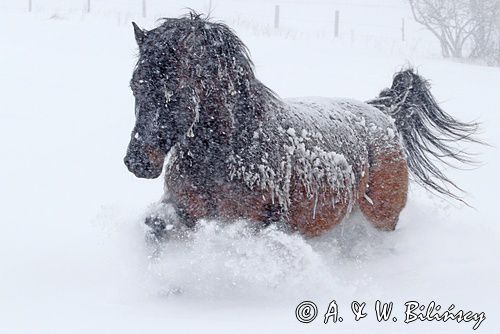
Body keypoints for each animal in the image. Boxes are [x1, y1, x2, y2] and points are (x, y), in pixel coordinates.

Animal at [123, 12, 478, 237]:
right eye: (135, 86)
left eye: (173, 92)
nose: (137, 161)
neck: (232, 149)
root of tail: (384, 116)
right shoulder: (185, 209)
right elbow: (158, 226)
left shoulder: (254, 222)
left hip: (383, 217)